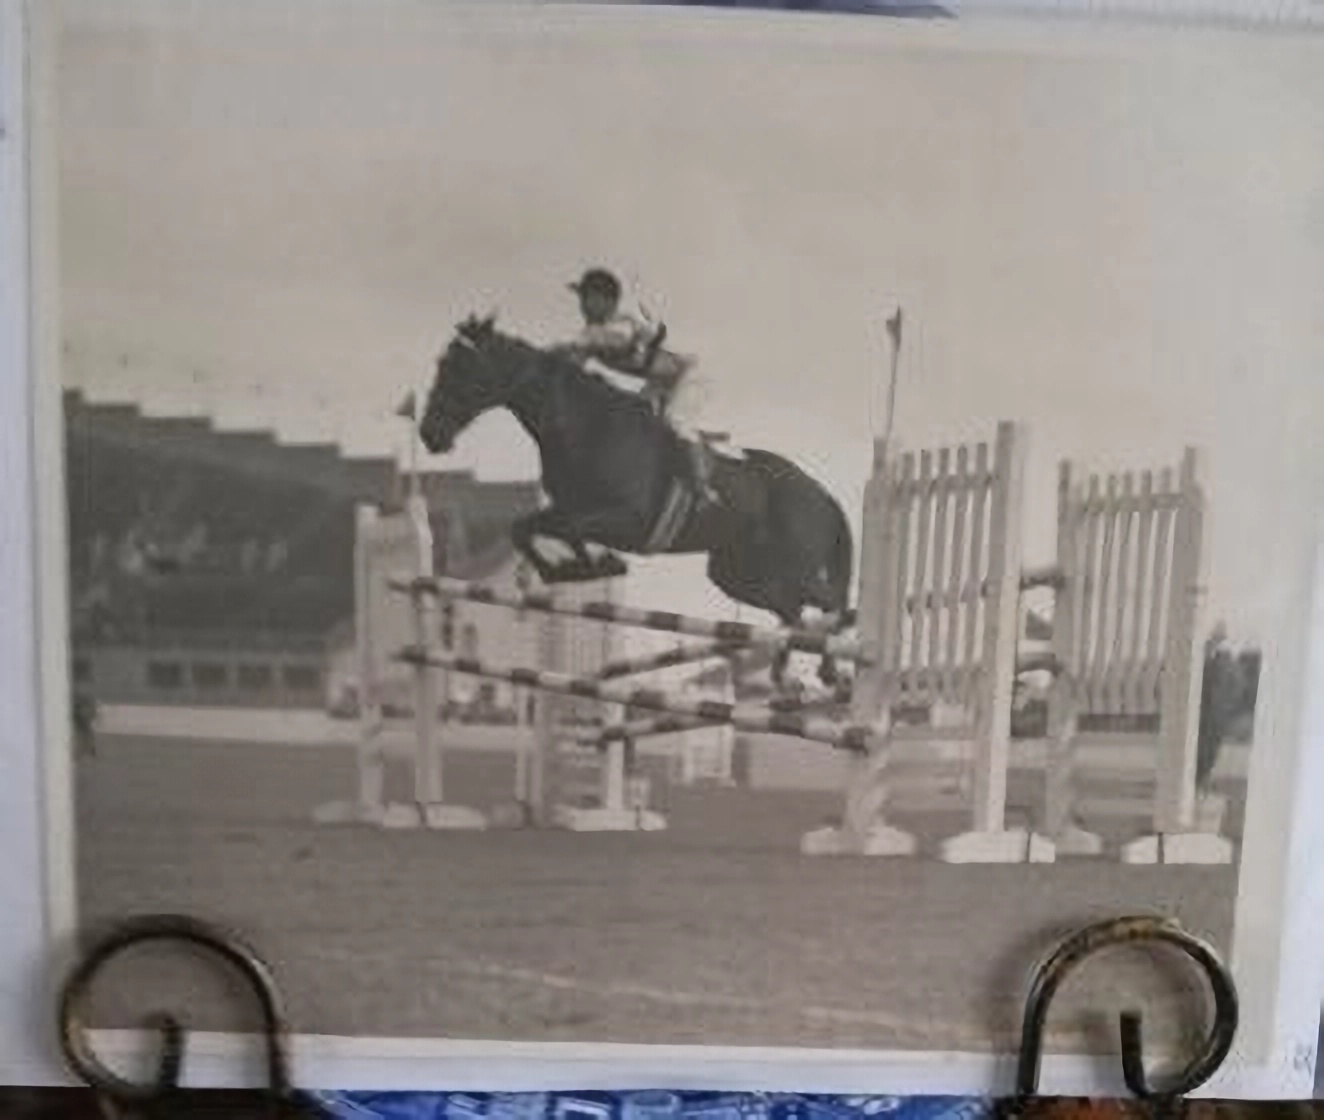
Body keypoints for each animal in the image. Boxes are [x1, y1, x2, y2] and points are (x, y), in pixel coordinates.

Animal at [423, 313, 857, 683]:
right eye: (443, 366)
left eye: (460, 370)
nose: (430, 434)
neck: (583, 425)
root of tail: (822, 494)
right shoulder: (569, 509)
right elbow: (525, 528)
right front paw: (572, 570)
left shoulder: (627, 520)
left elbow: (567, 529)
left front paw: (592, 565)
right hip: (737, 574)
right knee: (793, 611)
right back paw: (787, 674)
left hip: (793, 566)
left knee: (829, 601)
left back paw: (832, 671)